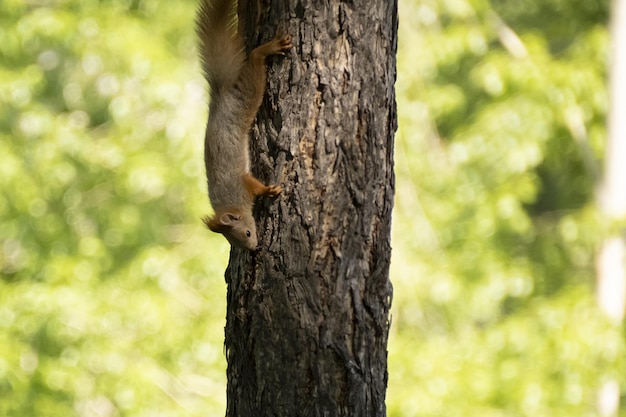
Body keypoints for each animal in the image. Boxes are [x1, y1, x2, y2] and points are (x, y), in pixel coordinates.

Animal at [196, 0, 292, 249]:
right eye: (236, 242)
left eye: (247, 233)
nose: (254, 247)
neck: (232, 203)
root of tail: (219, 98)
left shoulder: (242, 183)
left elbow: (254, 185)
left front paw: (269, 189)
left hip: (245, 100)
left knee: (255, 60)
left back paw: (267, 49)